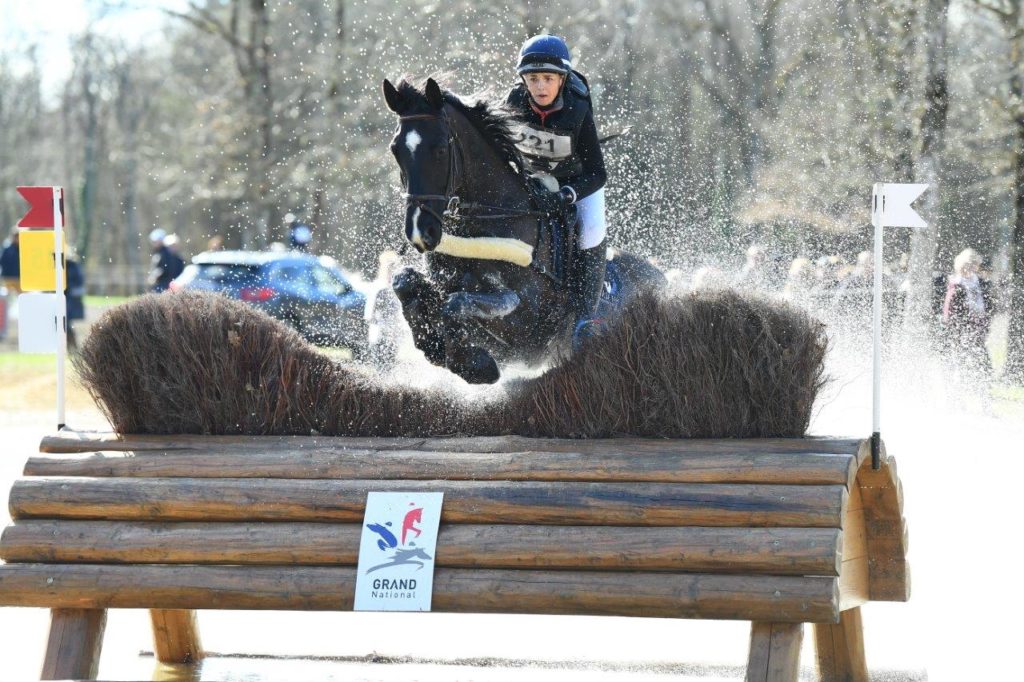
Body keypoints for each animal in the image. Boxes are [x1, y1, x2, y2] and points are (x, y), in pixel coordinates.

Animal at [385, 75, 663, 382]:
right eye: (395, 150)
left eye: (440, 150)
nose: (419, 232)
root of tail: (658, 275)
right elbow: (404, 281)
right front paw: (432, 344)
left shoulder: (525, 322)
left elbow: (459, 303)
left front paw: (474, 365)